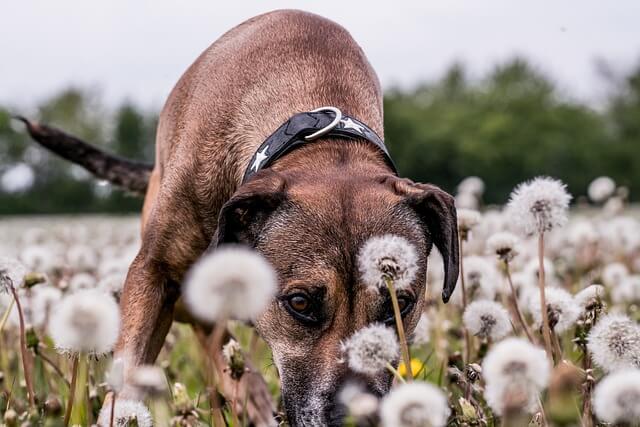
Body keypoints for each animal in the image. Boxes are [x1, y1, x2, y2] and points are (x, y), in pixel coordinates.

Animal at [21, 10, 460, 427]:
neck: (319, 130)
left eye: (400, 303)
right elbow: (129, 371)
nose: (357, 418)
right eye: (300, 303)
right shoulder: (154, 273)